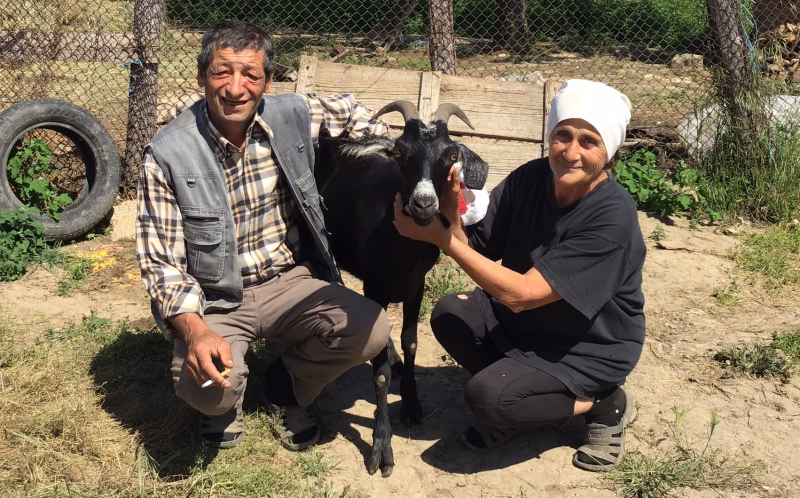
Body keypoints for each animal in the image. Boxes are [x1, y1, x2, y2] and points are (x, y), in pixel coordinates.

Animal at [314, 101, 489, 477]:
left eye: (452, 154)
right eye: (399, 152)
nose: (424, 204)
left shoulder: (415, 285)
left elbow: (411, 342)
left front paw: (411, 403)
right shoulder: (375, 287)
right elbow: (378, 375)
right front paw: (381, 446)